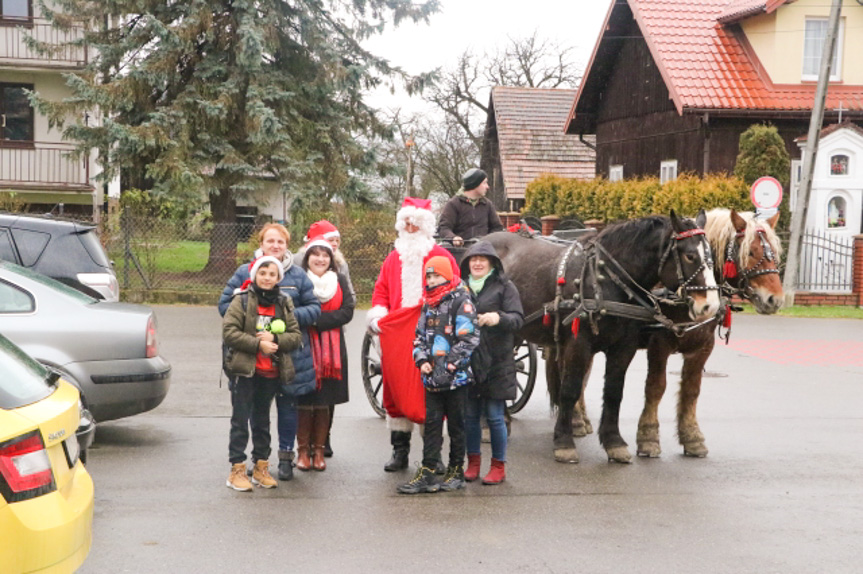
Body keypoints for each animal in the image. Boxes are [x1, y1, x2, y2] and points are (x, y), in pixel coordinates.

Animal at [486, 214, 724, 466]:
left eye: (711, 255)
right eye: (690, 255)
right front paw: (564, 442)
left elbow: (613, 392)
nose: (710, 306)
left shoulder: (624, 348)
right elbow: (570, 389)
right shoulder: (578, 345)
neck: (605, 280)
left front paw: (613, 442)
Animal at [636, 209, 784, 462]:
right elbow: (655, 387)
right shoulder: (659, 345)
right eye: (750, 252)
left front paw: (692, 437)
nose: (775, 299)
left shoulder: (702, 347)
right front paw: (648, 437)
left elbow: (692, 389)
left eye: (773, 252)